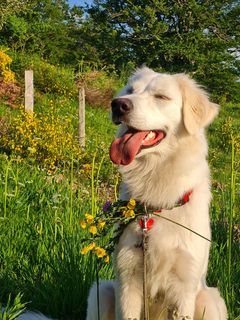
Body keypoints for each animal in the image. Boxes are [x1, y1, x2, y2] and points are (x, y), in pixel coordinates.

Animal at [86, 67, 227, 320]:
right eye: (130, 90)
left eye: (161, 97)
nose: (118, 105)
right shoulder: (128, 277)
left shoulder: (184, 286)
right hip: (101, 291)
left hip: (210, 300)